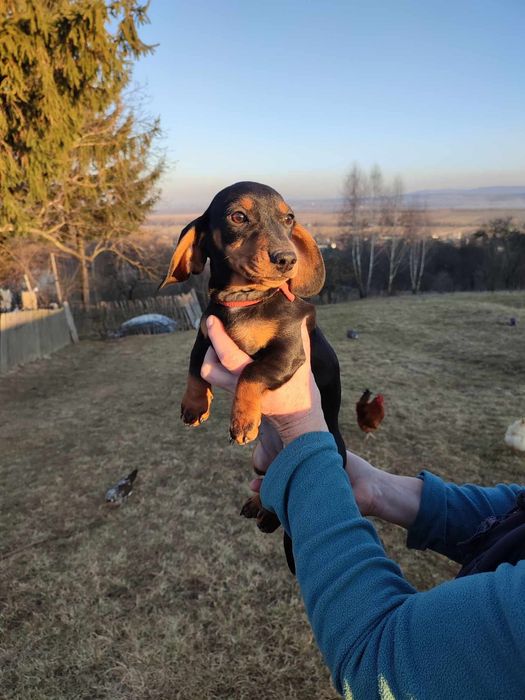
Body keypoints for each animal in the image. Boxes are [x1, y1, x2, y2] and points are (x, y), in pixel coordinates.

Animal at [160, 181, 346, 572]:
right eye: (238, 216)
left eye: (289, 218)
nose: (287, 259)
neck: (244, 301)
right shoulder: (206, 329)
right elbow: (194, 363)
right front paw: (194, 405)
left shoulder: (289, 350)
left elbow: (251, 371)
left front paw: (242, 420)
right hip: (262, 463)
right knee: (271, 487)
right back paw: (257, 506)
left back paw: (267, 517)